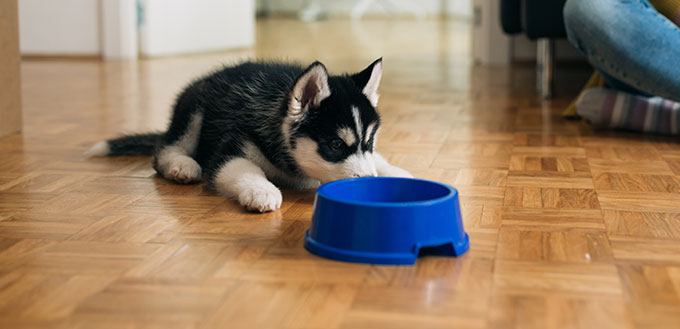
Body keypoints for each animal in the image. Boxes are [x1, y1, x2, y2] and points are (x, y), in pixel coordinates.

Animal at [87, 59, 412, 211]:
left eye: (369, 142)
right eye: (335, 144)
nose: (368, 182)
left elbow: (380, 160)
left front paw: (397, 172)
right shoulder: (231, 150)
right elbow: (243, 169)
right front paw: (262, 191)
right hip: (195, 106)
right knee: (166, 148)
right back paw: (181, 164)